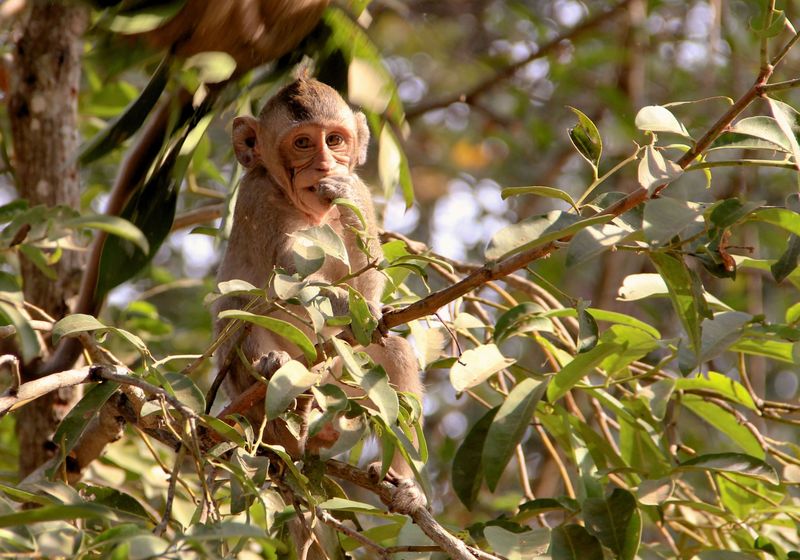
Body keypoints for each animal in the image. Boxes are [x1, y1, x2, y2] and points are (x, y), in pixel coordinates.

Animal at [213, 78, 423, 470]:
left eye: (335, 140)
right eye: (303, 143)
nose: (325, 166)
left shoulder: (363, 191)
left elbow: (368, 273)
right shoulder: (257, 197)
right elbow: (286, 277)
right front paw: (353, 309)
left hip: (345, 383)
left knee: (395, 352)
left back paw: (397, 477)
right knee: (240, 306)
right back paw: (280, 403)